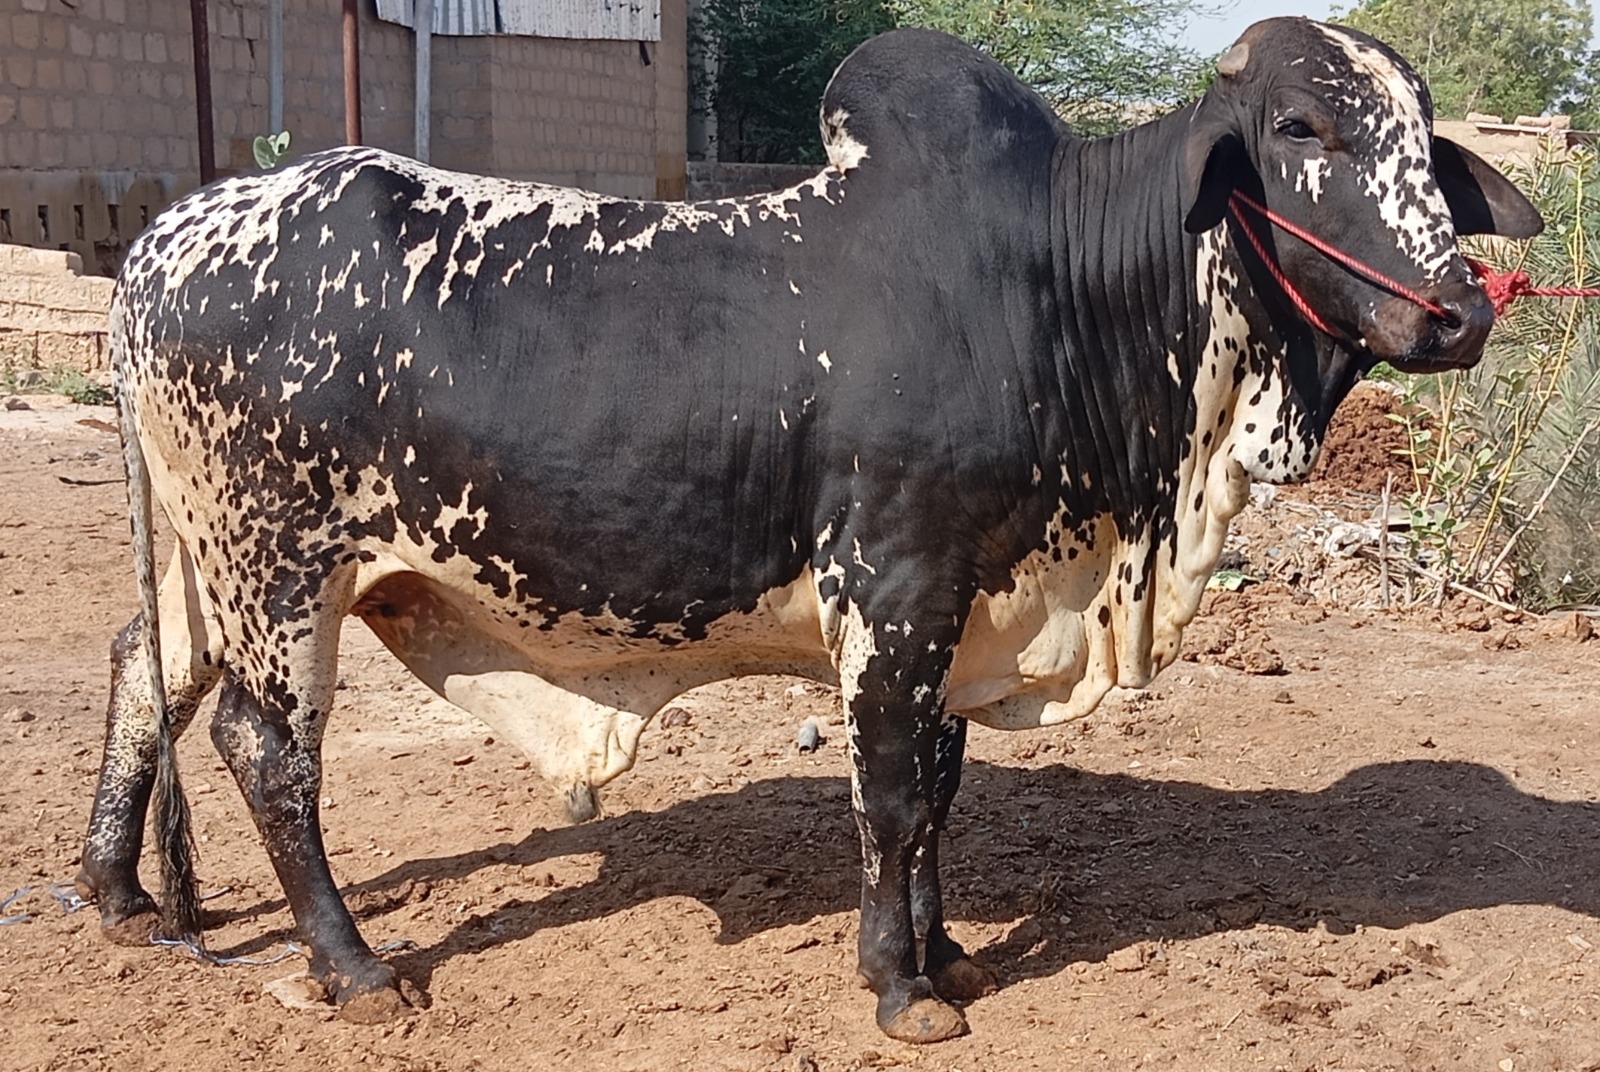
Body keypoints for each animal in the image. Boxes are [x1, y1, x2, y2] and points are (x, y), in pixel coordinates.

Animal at [77, 17, 1540, 1042]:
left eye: (1424, 140)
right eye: (1302, 127)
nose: (1459, 310)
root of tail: (163, 241)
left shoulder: (971, 600)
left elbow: (942, 791)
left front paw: (948, 952)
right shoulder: (893, 588)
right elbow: (889, 795)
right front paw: (901, 985)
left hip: (203, 561)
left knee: (144, 671)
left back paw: (119, 897)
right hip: (278, 567)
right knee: (266, 746)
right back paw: (352, 965)